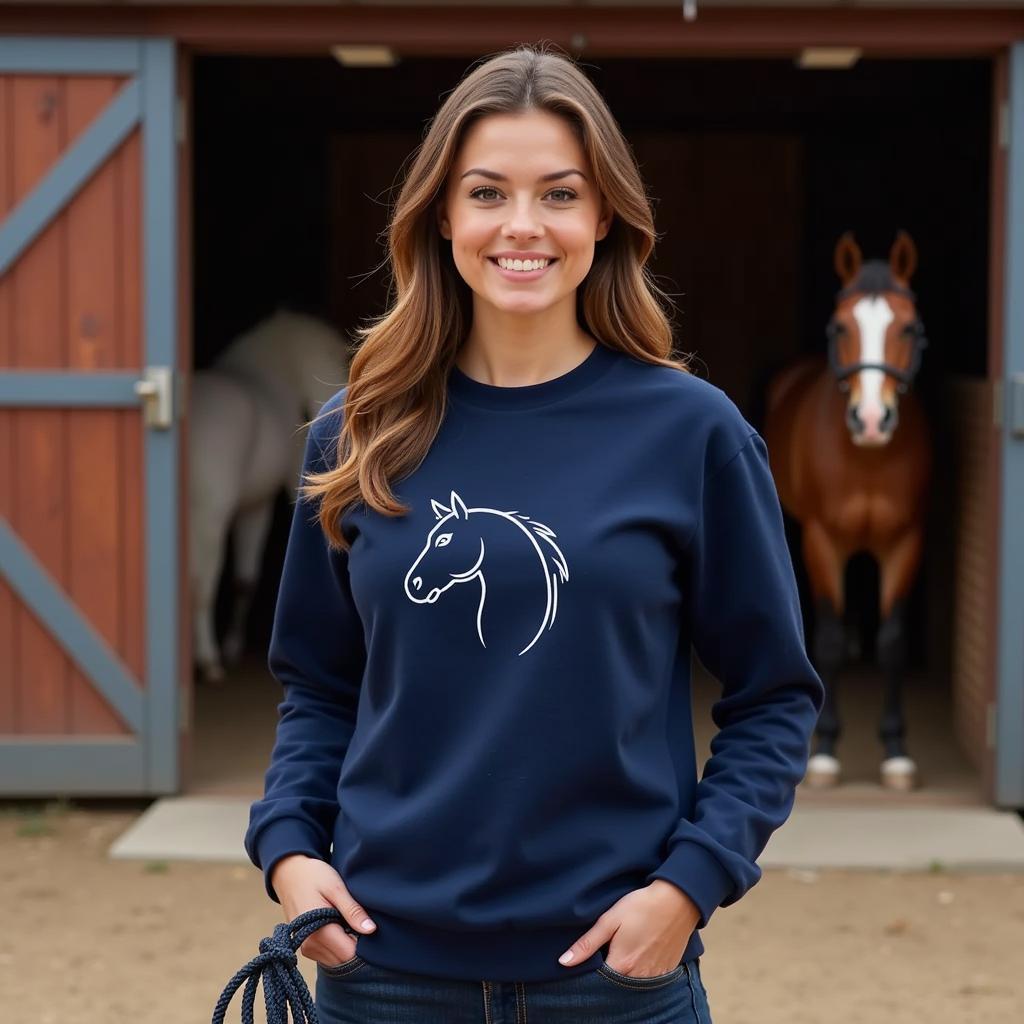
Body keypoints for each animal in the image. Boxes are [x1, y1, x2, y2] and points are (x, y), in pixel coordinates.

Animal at [765, 234, 933, 790]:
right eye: (840, 327)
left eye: (909, 327)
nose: (872, 419)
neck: (866, 461)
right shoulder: (823, 541)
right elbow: (831, 641)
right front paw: (825, 753)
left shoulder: (905, 542)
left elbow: (893, 642)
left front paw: (897, 753)